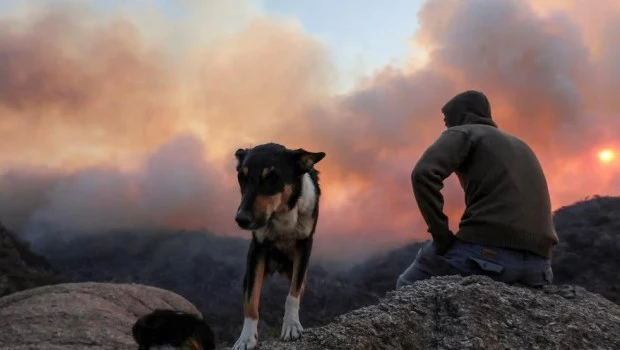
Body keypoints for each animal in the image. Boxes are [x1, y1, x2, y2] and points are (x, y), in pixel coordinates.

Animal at [229, 143, 324, 350]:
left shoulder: (305, 244)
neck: (281, 213)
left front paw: (291, 325)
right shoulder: (257, 250)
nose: (241, 219)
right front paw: (246, 338)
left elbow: (292, 294)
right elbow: (251, 301)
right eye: (242, 178)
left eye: (271, 178)